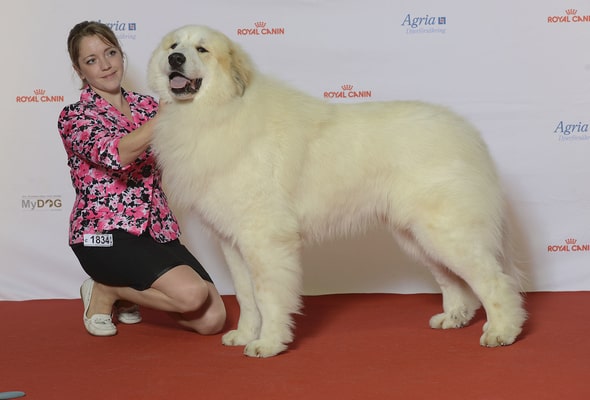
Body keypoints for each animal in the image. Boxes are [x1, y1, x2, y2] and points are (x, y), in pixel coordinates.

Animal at [148, 24, 528, 356]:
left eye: (201, 49)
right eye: (173, 45)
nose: (175, 59)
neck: (219, 111)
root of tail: (467, 134)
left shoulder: (264, 240)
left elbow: (268, 297)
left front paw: (268, 344)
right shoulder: (232, 242)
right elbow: (245, 296)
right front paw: (244, 335)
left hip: (446, 231)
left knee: (494, 281)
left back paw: (502, 331)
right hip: (416, 235)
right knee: (454, 280)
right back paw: (454, 317)